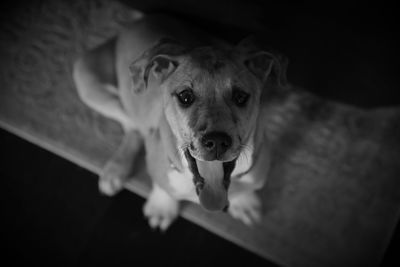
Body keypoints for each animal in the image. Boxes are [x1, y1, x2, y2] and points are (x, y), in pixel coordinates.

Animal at [72, 14, 288, 231]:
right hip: (87, 80)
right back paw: (116, 169)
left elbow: (248, 188)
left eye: (240, 97)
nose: (217, 141)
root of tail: (142, 19)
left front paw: (244, 202)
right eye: (185, 96)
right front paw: (162, 207)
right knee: (132, 126)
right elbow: (163, 186)